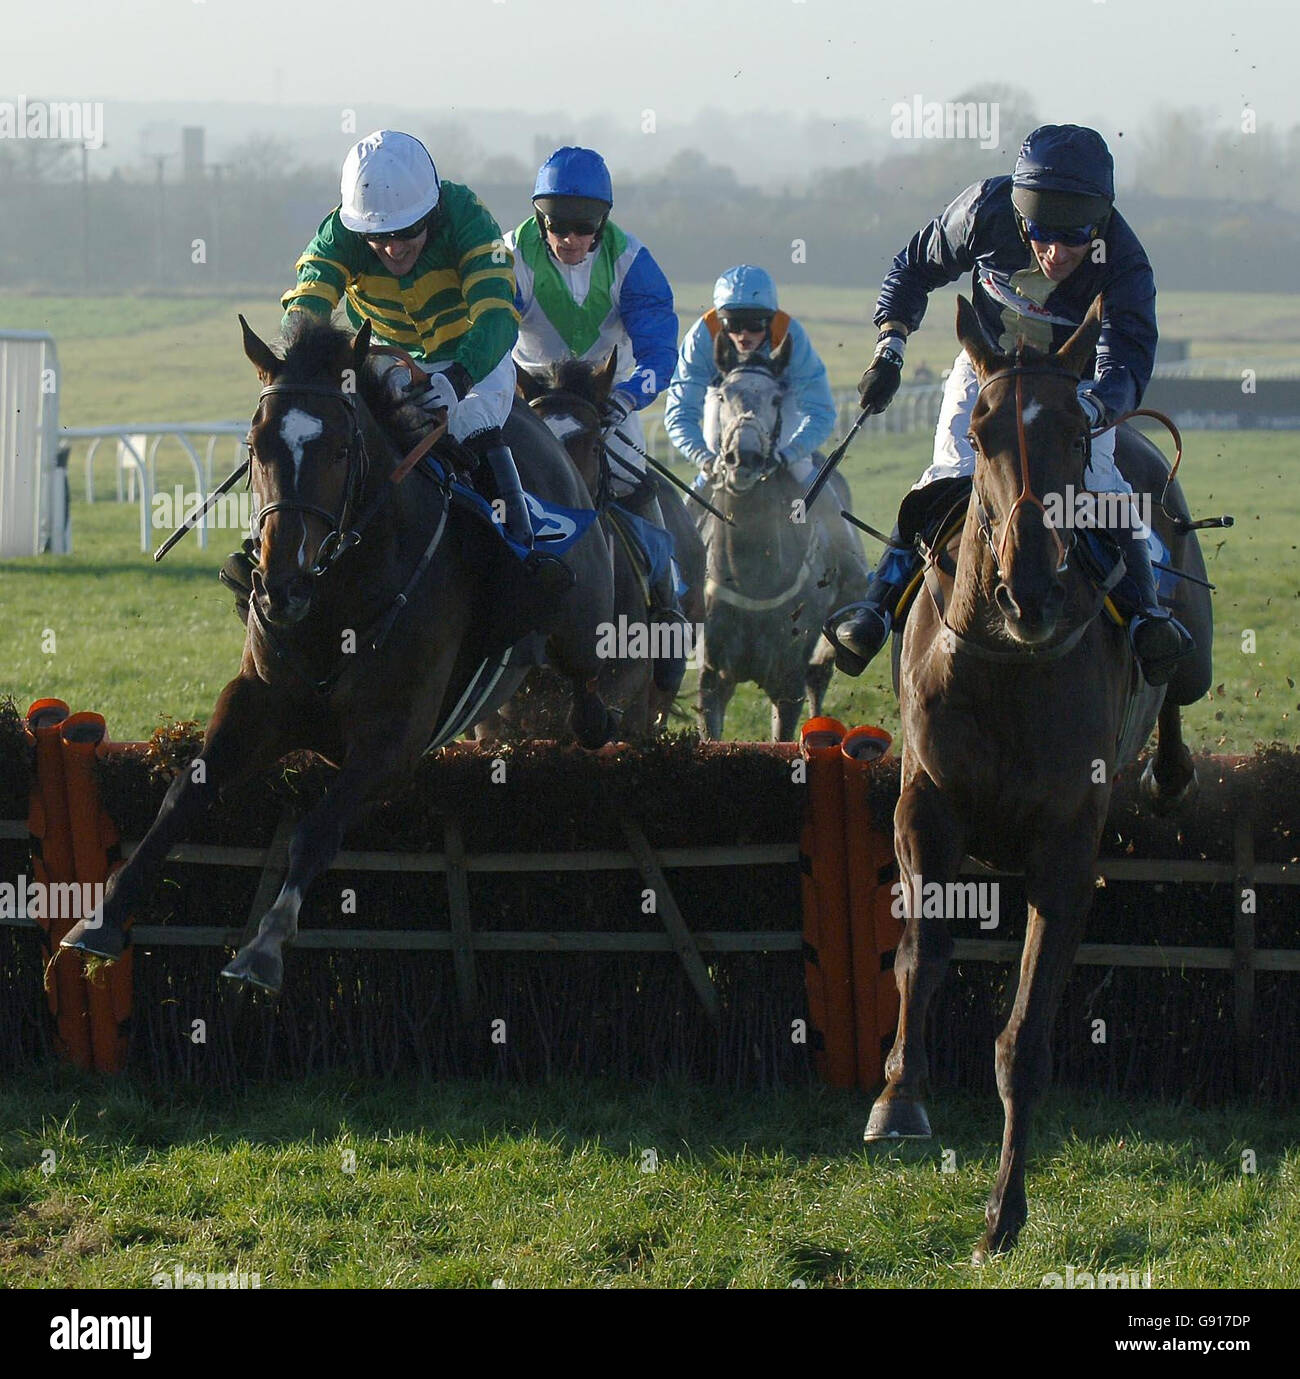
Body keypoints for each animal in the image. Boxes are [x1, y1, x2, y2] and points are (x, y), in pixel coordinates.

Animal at [66, 313, 620, 992]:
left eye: (339, 450)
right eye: (255, 447)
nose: (281, 585)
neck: (336, 602)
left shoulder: (395, 738)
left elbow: (316, 830)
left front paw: (263, 947)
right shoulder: (258, 699)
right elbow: (183, 795)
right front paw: (102, 917)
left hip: (581, 620)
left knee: (587, 686)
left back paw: (593, 714)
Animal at [871, 293, 1213, 1263]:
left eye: (1071, 429)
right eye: (981, 427)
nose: (1028, 585)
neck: (1007, 665)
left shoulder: (1064, 847)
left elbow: (1023, 1038)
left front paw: (1003, 1211)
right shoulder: (925, 807)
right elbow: (920, 955)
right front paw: (899, 1096)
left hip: (1193, 653)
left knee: (1179, 690)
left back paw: (1170, 763)